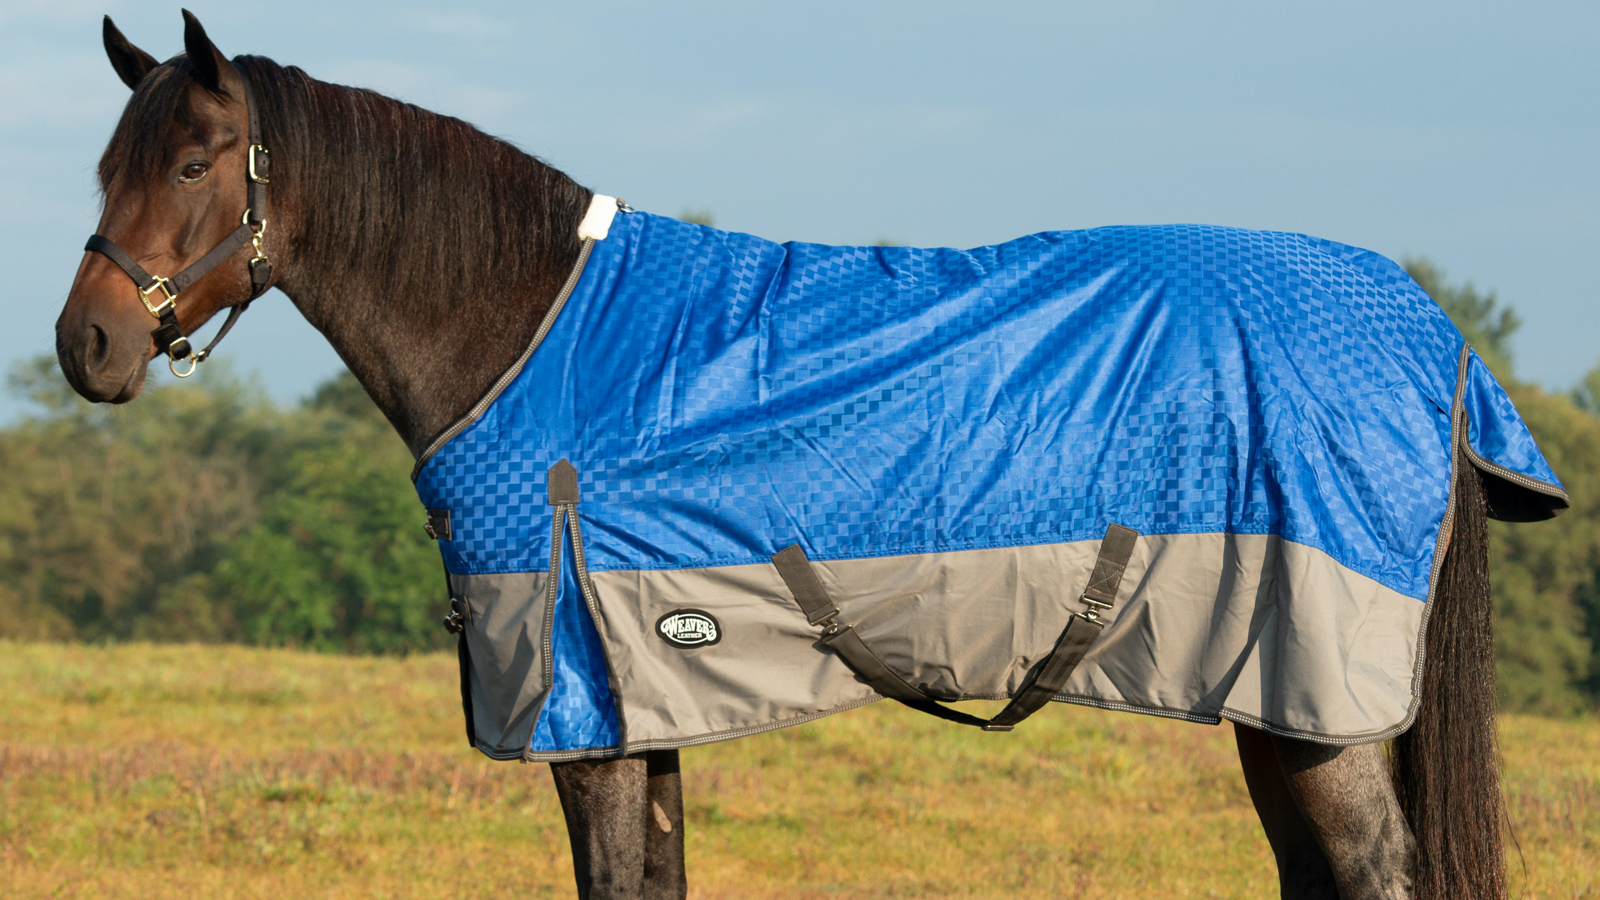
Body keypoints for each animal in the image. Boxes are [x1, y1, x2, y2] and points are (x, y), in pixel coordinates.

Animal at [55, 13, 1566, 900]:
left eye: (195, 159)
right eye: (106, 164)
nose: (87, 347)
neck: (530, 331)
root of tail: (1425, 332)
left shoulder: (584, 715)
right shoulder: (641, 708)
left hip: (1320, 703)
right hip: (1276, 703)